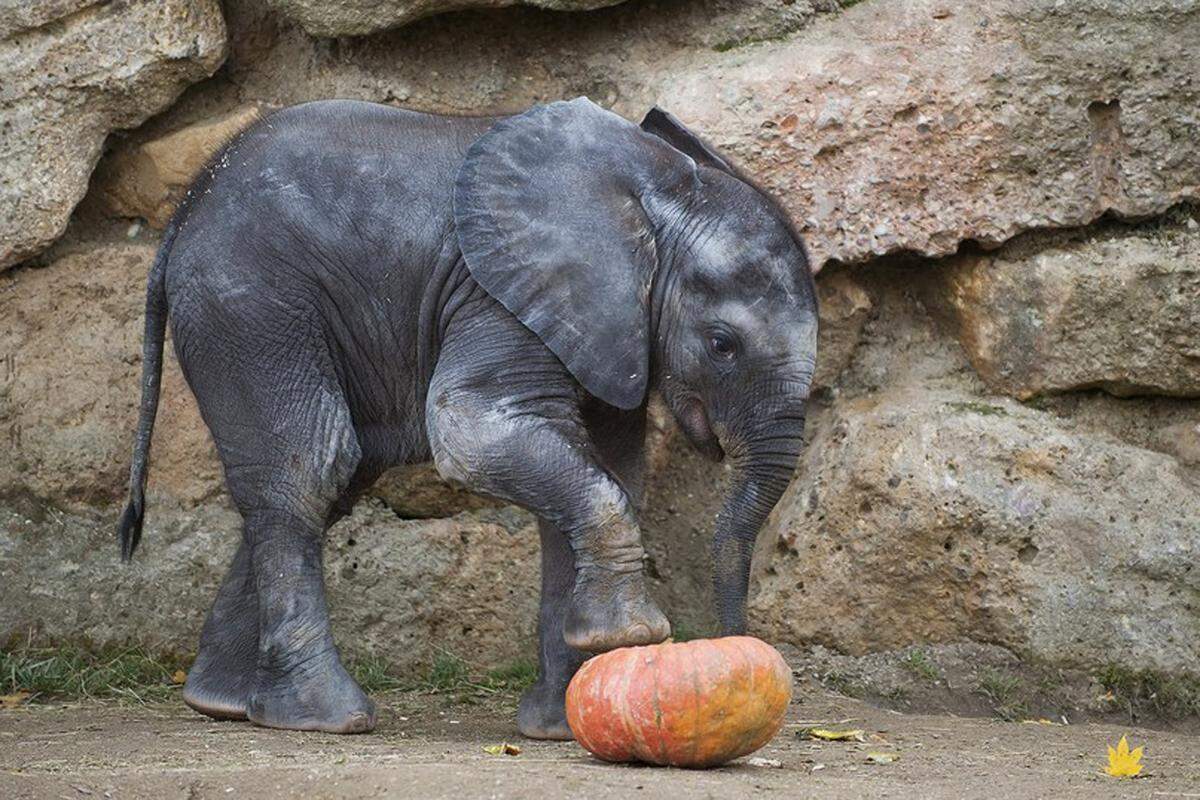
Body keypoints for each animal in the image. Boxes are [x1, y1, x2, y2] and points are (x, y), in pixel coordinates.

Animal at [117, 98, 820, 738]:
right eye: (722, 344)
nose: (733, 646)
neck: (656, 196)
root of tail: (185, 209)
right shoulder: (499, 298)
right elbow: (474, 431)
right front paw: (630, 635)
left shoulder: (605, 328)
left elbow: (603, 469)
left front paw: (561, 721)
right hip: (251, 304)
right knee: (311, 467)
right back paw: (326, 718)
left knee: (327, 483)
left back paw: (224, 703)